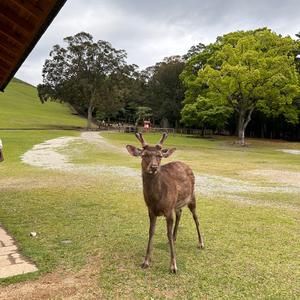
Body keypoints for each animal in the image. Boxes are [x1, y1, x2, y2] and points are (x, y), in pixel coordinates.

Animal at [125, 132, 205, 274]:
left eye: (160, 156)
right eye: (144, 155)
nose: (154, 167)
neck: (156, 199)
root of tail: (186, 165)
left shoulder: (168, 210)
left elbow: (167, 233)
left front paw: (173, 266)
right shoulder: (151, 210)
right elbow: (151, 232)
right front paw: (146, 261)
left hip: (192, 197)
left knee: (196, 218)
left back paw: (201, 243)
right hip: (176, 204)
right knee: (180, 213)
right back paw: (174, 238)